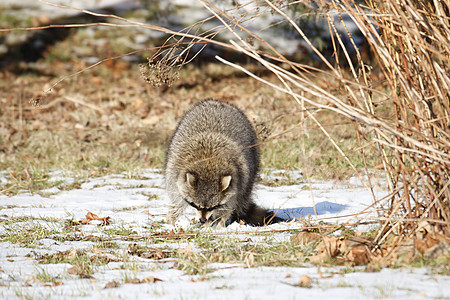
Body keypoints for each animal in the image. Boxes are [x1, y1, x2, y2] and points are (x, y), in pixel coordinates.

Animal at [163, 98, 272, 227]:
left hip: (252, 164)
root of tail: (218, 102)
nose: (202, 220)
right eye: (195, 204)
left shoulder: (239, 180)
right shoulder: (175, 169)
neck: (209, 162)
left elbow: (228, 206)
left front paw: (218, 223)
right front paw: (172, 217)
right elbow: (176, 198)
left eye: (214, 206)